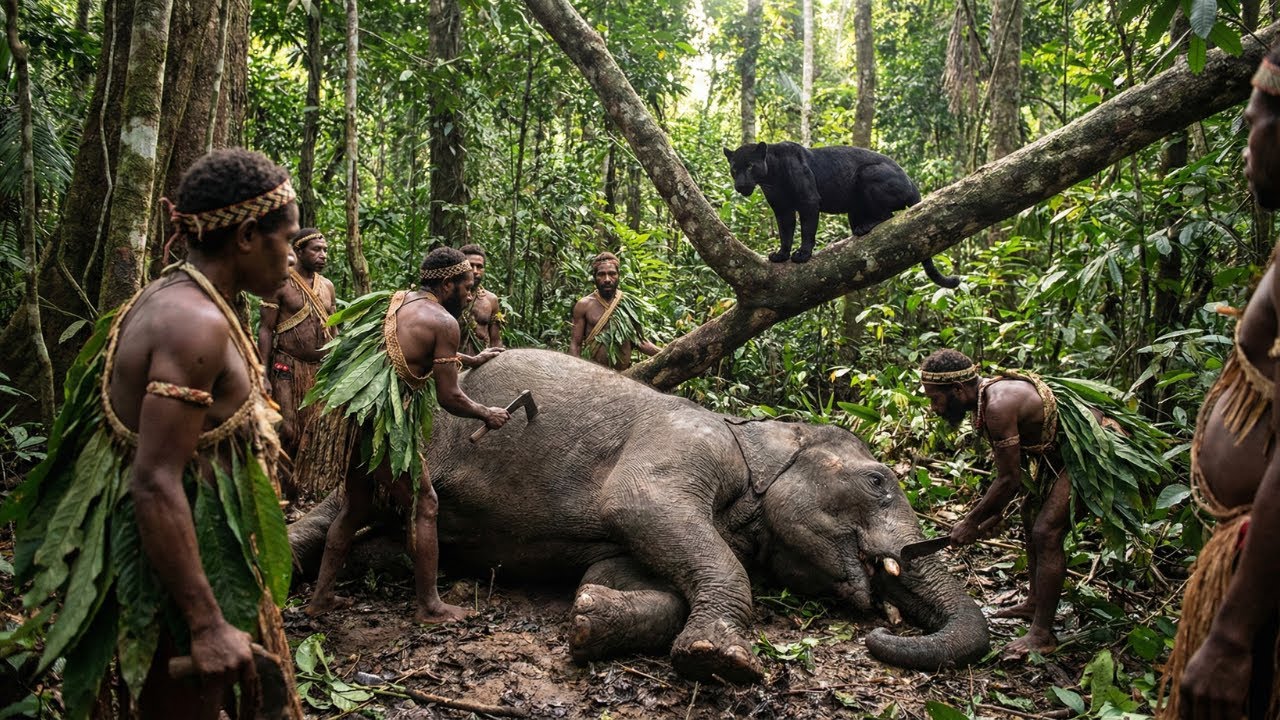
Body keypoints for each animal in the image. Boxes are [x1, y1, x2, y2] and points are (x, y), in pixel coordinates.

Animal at [289, 348, 989, 682]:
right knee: (340, 510)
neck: (758, 433)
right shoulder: (682, 448)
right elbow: (642, 507)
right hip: (407, 439)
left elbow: (621, 567)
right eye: (878, 482)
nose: (877, 635)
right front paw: (719, 660)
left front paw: (589, 614)